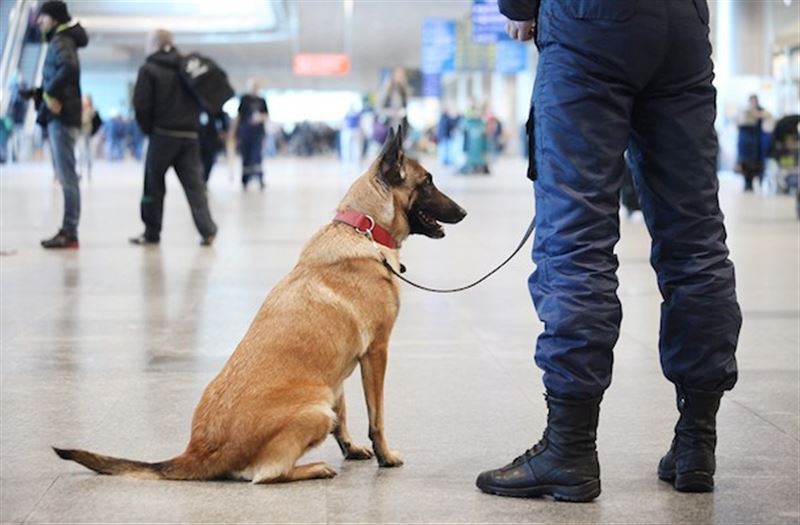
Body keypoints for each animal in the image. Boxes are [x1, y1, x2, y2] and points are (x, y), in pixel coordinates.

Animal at [53, 127, 466, 484]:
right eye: (428, 181)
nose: (463, 212)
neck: (362, 228)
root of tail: (199, 451)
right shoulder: (377, 353)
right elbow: (376, 416)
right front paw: (385, 455)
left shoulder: (338, 373)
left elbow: (345, 413)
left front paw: (350, 448)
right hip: (315, 408)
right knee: (267, 474)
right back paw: (313, 468)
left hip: (321, 398)